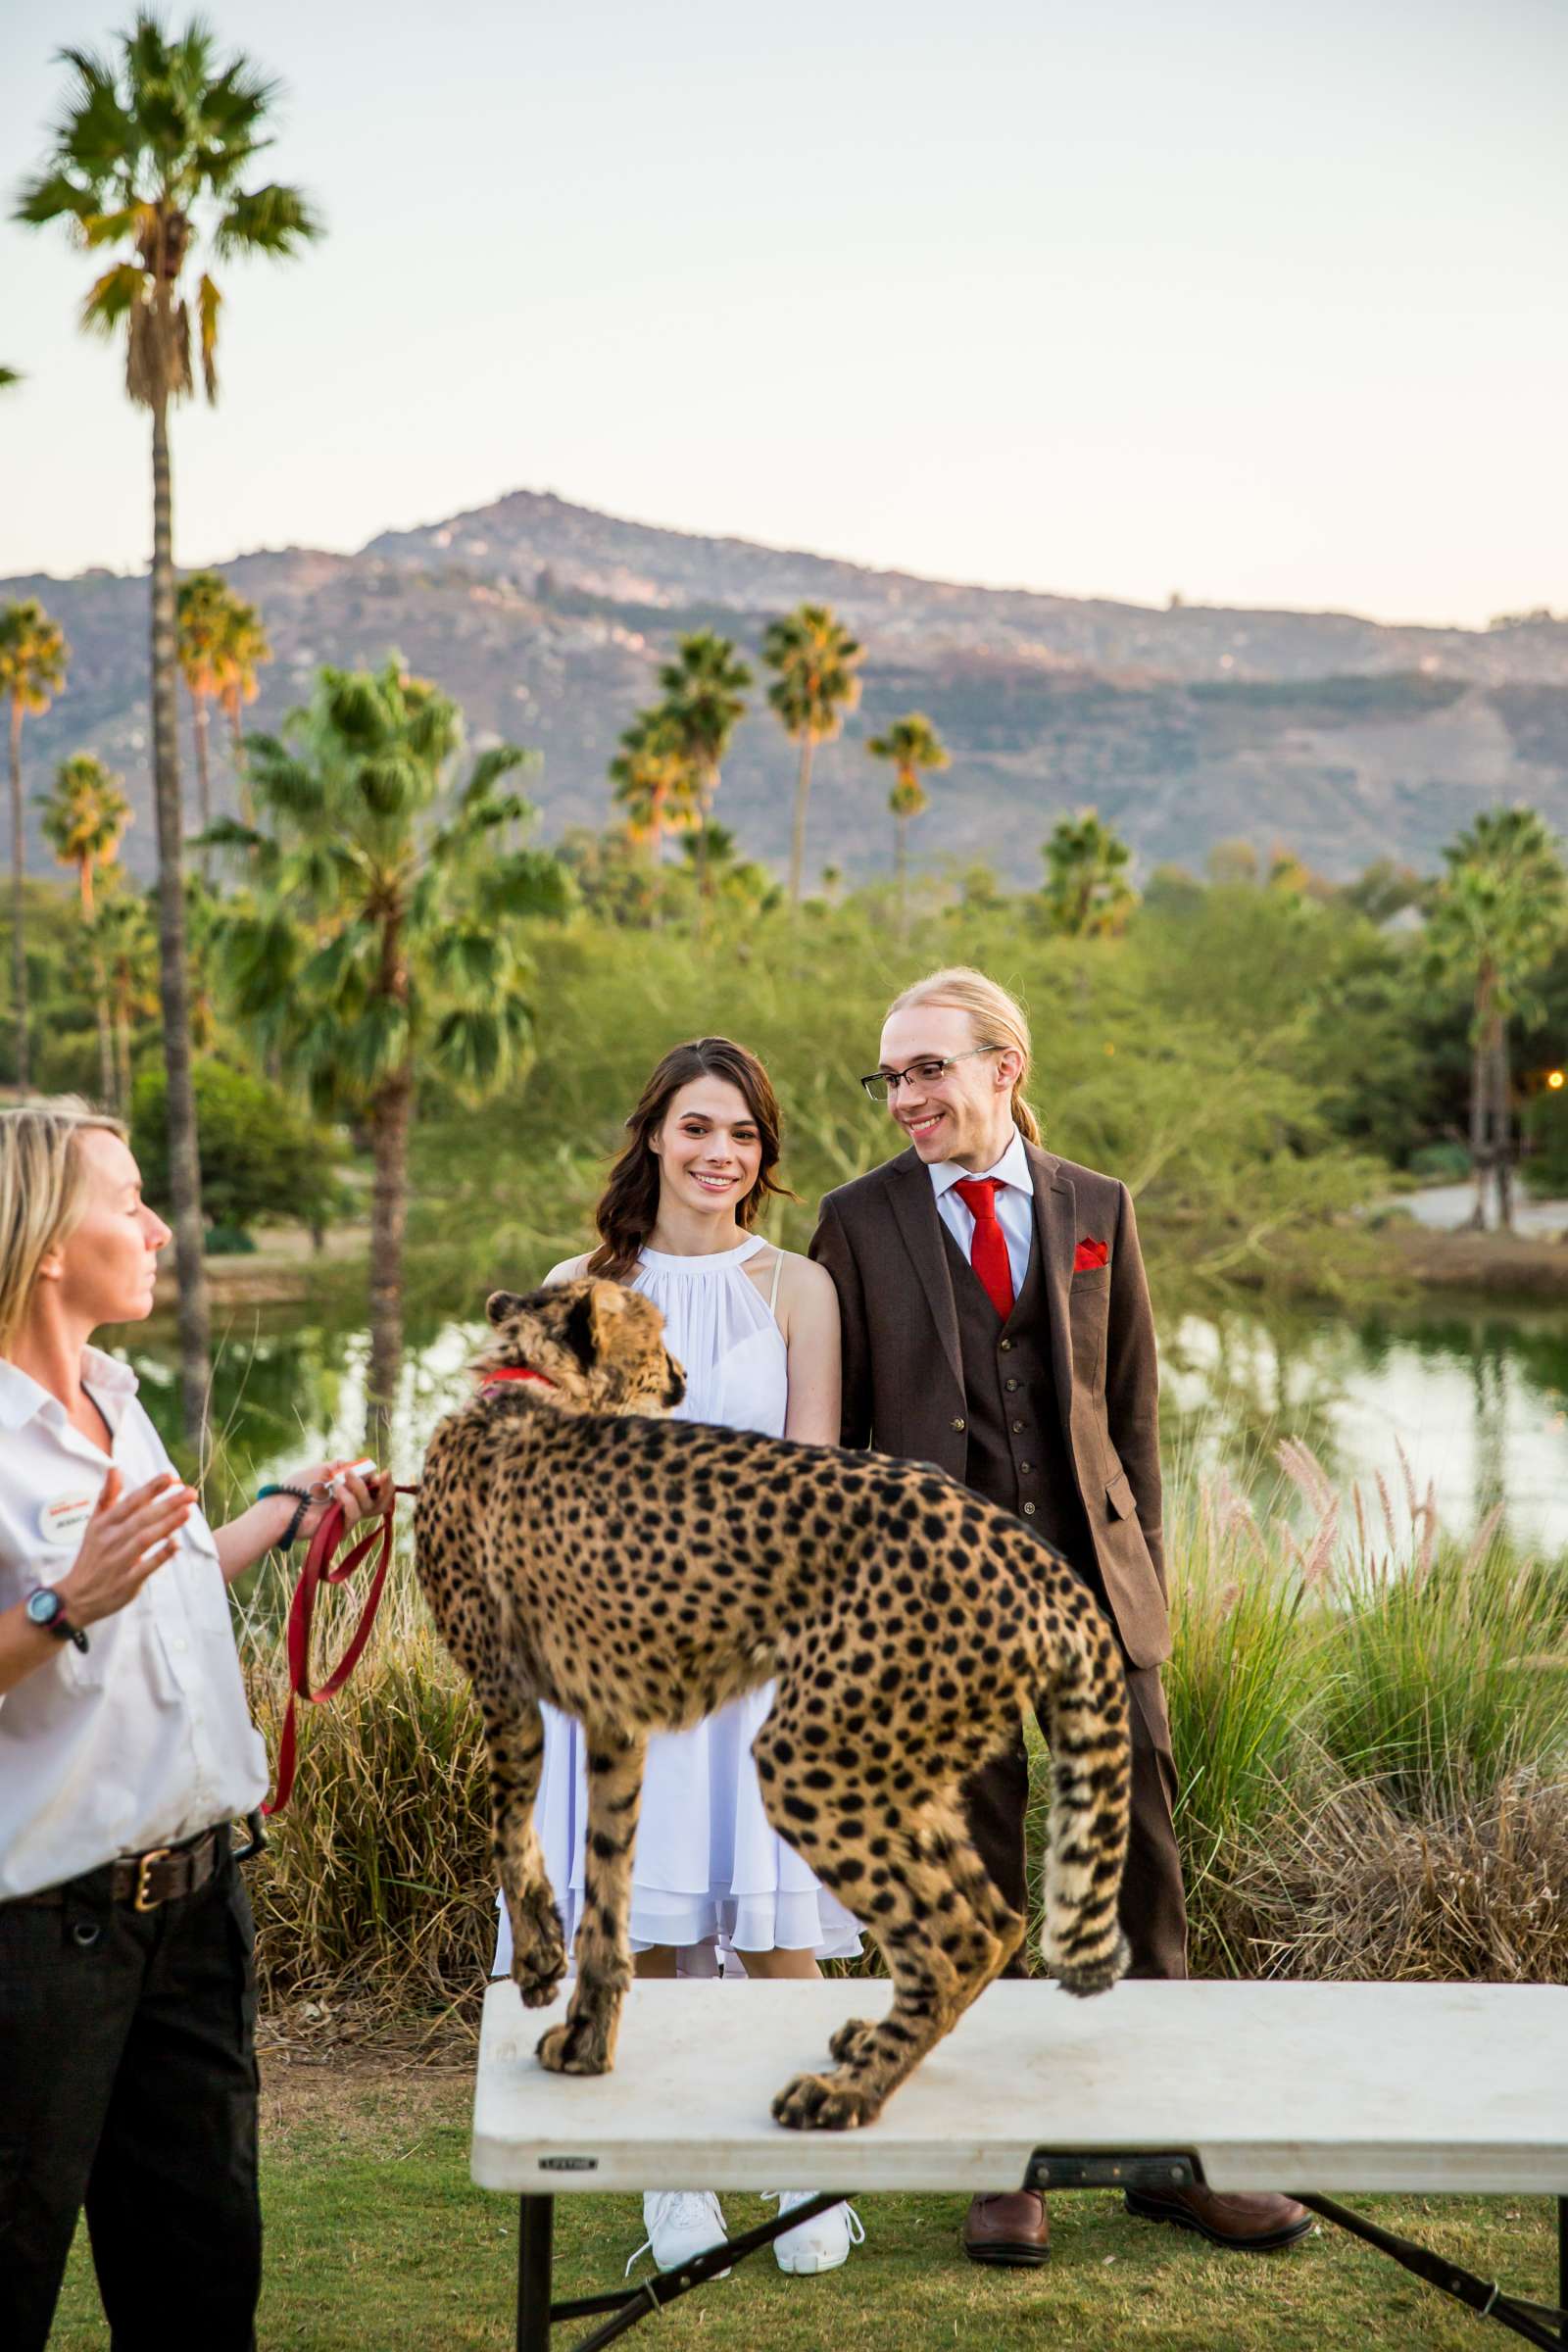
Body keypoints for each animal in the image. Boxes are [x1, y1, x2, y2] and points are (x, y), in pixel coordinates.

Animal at [416, 1289, 1128, 2135]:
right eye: (654, 1336)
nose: (682, 1373)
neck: (540, 1389)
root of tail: (1043, 1563)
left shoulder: (507, 1693)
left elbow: (511, 1838)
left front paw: (535, 1966)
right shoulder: (614, 1720)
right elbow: (607, 1877)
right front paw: (588, 2037)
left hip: (815, 1756)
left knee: (957, 1935)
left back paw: (848, 2091)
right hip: (903, 1764)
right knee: (994, 1919)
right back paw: (871, 2047)